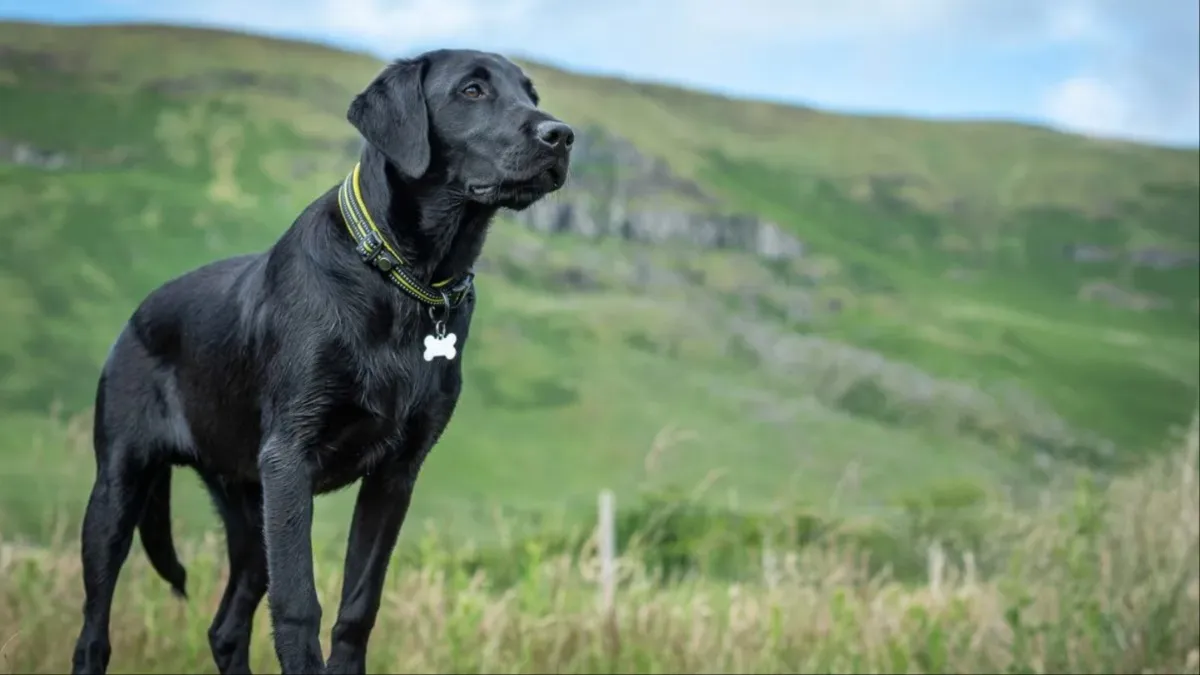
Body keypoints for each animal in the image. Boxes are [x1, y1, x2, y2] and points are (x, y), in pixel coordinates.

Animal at [71, 48, 576, 672]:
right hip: (119, 489)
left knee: (226, 627)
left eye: (530, 94)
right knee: (95, 629)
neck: (403, 278)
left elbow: (358, 607)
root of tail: (135, 316)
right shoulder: (290, 459)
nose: (562, 135)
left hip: (251, 513)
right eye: (472, 90)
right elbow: (298, 608)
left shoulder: (395, 474)